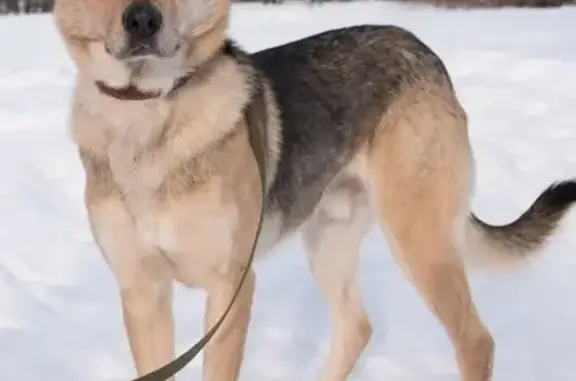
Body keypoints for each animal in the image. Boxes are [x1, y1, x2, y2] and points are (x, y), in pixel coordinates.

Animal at [53, 0, 576, 380]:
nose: (143, 19)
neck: (148, 112)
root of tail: (422, 48)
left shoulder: (230, 287)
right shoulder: (143, 290)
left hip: (418, 239)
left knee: (475, 340)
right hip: (330, 240)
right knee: (357, 327)